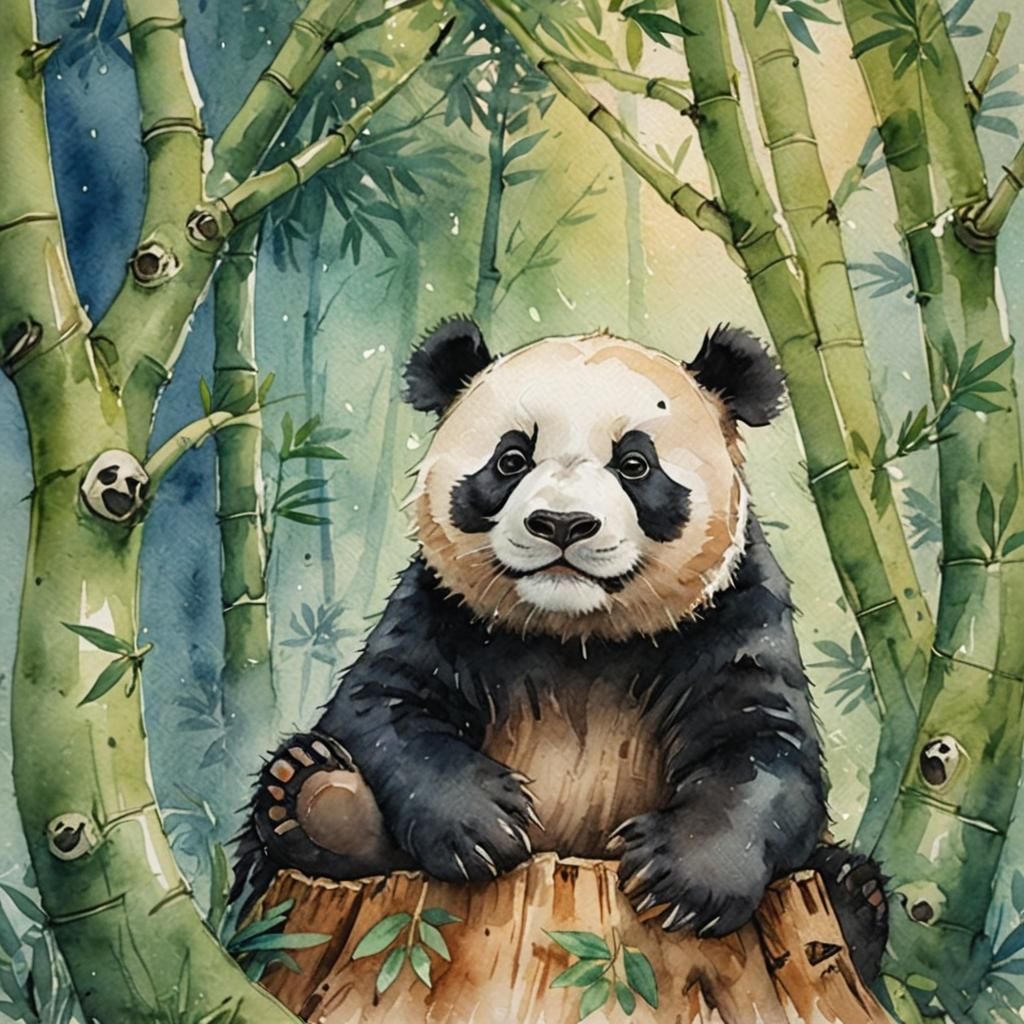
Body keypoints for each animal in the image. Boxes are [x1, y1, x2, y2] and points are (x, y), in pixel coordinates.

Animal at [233, 318, 887, 977]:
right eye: (511, 459)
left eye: (635, 464)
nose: (563, 524)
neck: (578, 634)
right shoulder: (442, 610)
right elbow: (382, 705)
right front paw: (483, 825)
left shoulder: (731, 613)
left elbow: (764, 746)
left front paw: (682, 882)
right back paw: (315, 799)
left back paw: (856, 897)